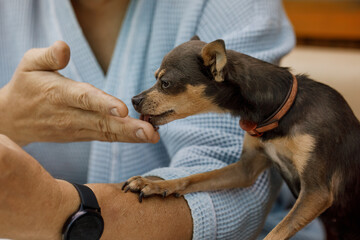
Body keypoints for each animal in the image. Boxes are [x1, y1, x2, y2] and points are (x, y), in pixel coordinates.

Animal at [122, 36, 358, 239]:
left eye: (165, 83)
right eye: (155, 78)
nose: (134, 100)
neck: (283, 110)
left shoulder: (316, 192)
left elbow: (277, 233)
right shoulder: (246, 170)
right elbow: (195, 178)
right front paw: (153, 184)